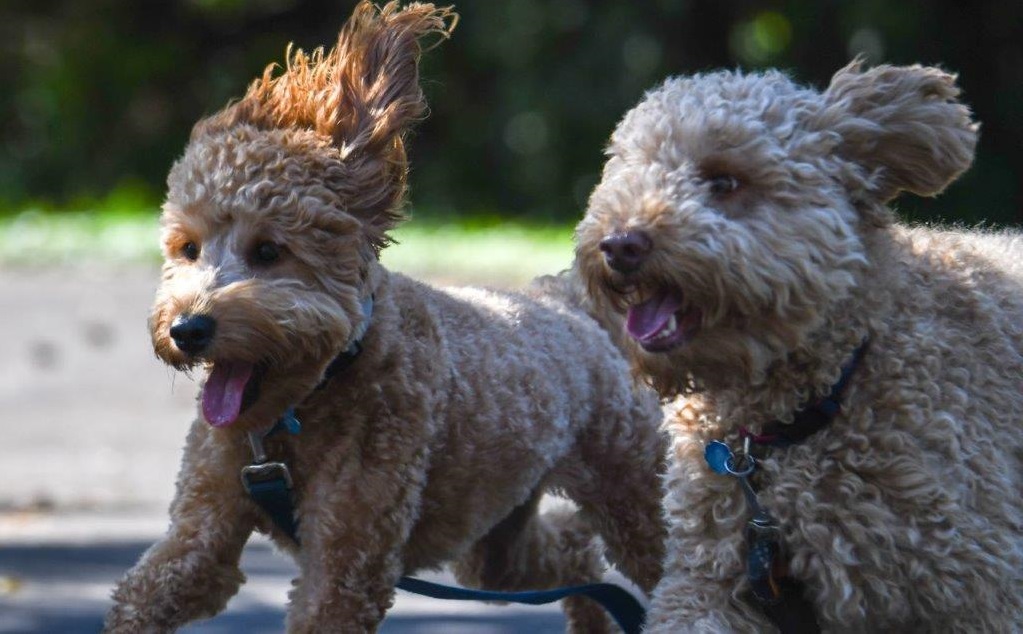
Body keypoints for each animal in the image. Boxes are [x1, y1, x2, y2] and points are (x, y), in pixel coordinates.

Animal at [101, 2, 662, 629]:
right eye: (188, 248)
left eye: (269, 251)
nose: (188, 329)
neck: (304, 406)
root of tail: (561, 300)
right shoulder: (202, 534)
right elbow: (149, 591)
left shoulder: (347, 561)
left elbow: (329, 600)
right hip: (496, 541)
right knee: (572, 553)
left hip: (634, 495)